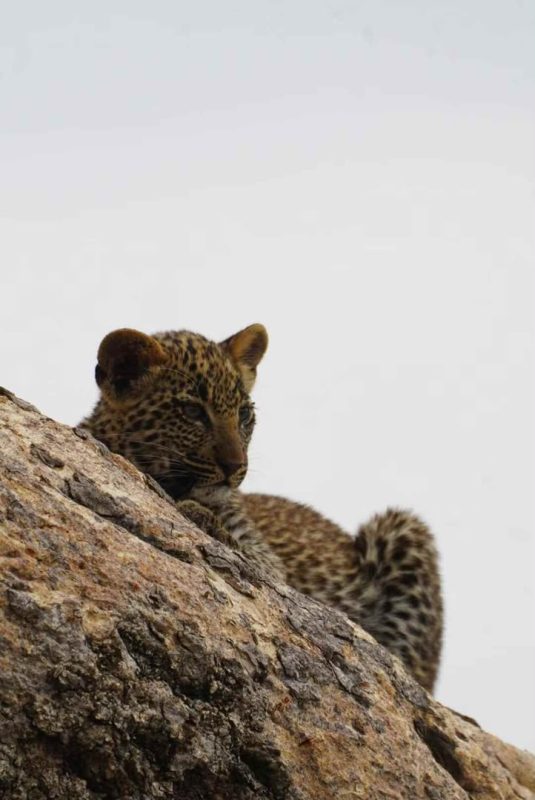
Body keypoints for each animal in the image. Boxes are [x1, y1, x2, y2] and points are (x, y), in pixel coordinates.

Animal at [80, 323, 443, 692]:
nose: (235, 466)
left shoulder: (269, 563)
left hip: (402, 527)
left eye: (243, 414)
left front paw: (198, 513)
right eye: (193, 412)